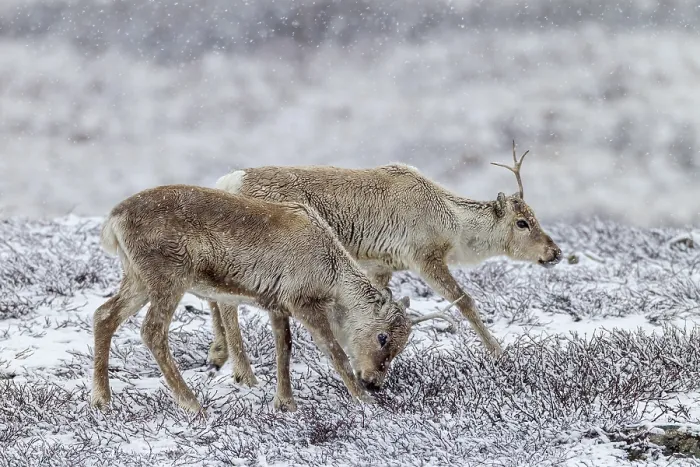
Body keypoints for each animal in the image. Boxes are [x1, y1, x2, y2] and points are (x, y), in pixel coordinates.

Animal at [90, 184, 453, 414]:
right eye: (383, 337)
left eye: (402, 344)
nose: (375, 382)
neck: (332, 271)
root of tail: (113, 221)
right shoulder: (302, 301)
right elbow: (335, 351)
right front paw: (363, 401)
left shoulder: (277, 304)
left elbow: (284, 349)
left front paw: (285, 403)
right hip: (168, 279)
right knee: (151, 330)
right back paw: (192, 404)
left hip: (137, 279)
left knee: (103, 315)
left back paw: (102, 400)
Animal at [207, 141, 563, 386]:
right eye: (522, 223)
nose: (555, 252)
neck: (452, 223)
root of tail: (227, 183)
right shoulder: (424, 257)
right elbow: (464, 301)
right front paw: (500, 352)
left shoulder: (380, 265)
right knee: (227, 303)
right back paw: (244, 374)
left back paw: (218, 354)